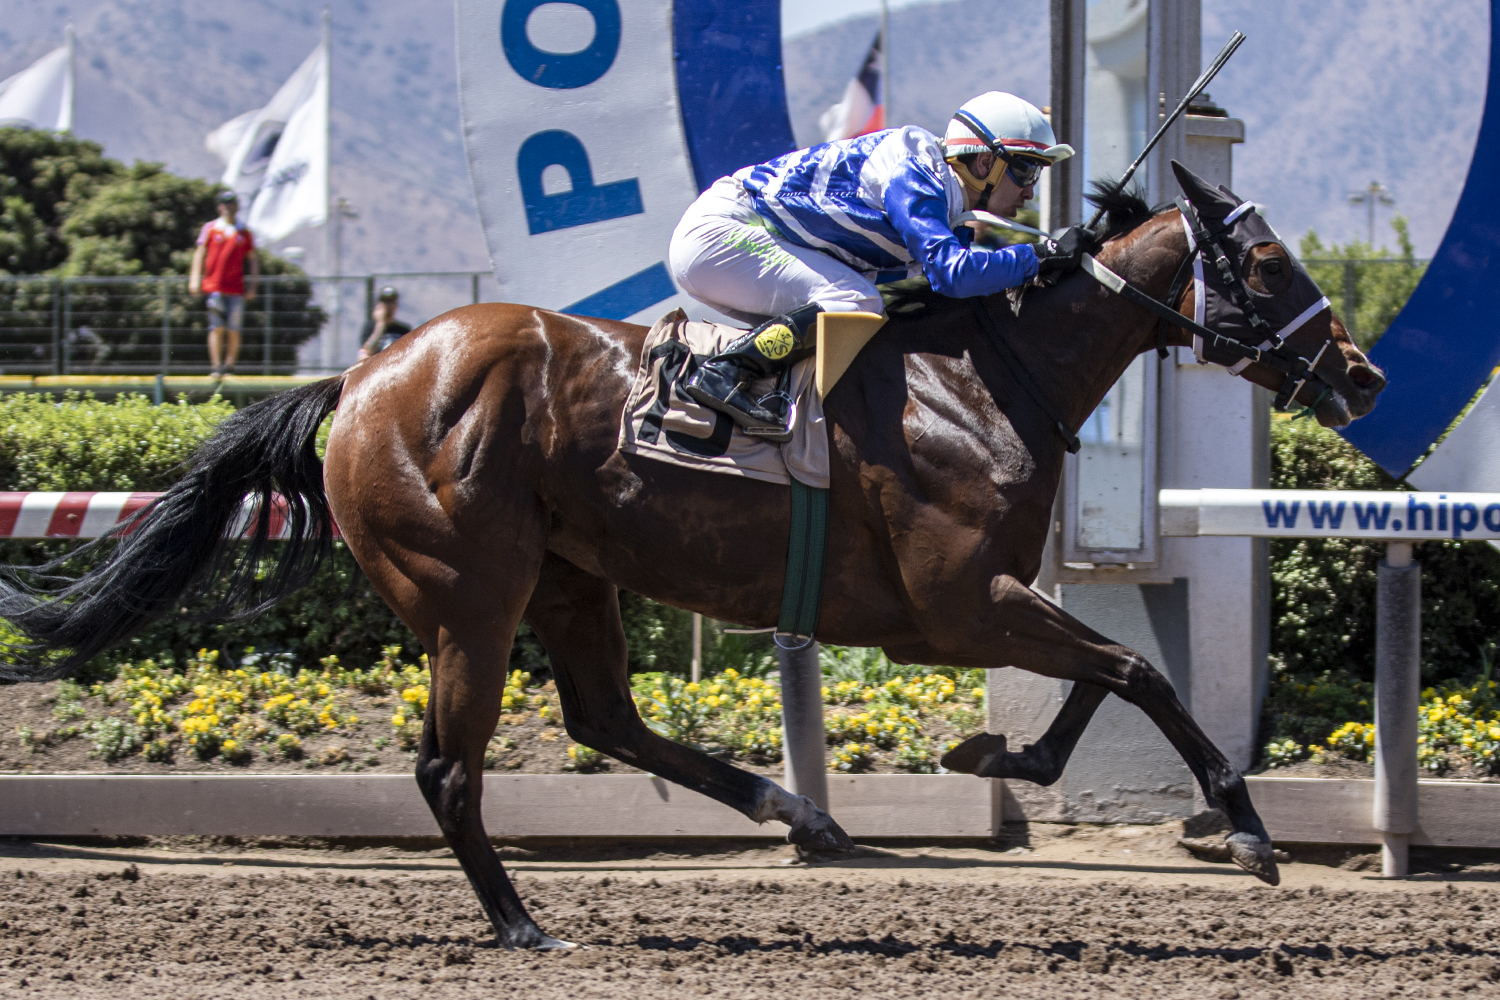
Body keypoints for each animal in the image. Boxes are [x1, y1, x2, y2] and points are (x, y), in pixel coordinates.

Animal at [0, 169, 1385, 949]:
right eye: (1267, 261)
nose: (1365, 374)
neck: (988, 374)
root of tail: (367, 372)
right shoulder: (952, 606)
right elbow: (1139, 673)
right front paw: (1244, 827)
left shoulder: (984, 599)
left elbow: (1110, 673)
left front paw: (1002, 757)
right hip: (469, 592)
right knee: (450, 767)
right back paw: (522, 922)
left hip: (570, 574)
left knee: (606, 717)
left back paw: (797, 812)